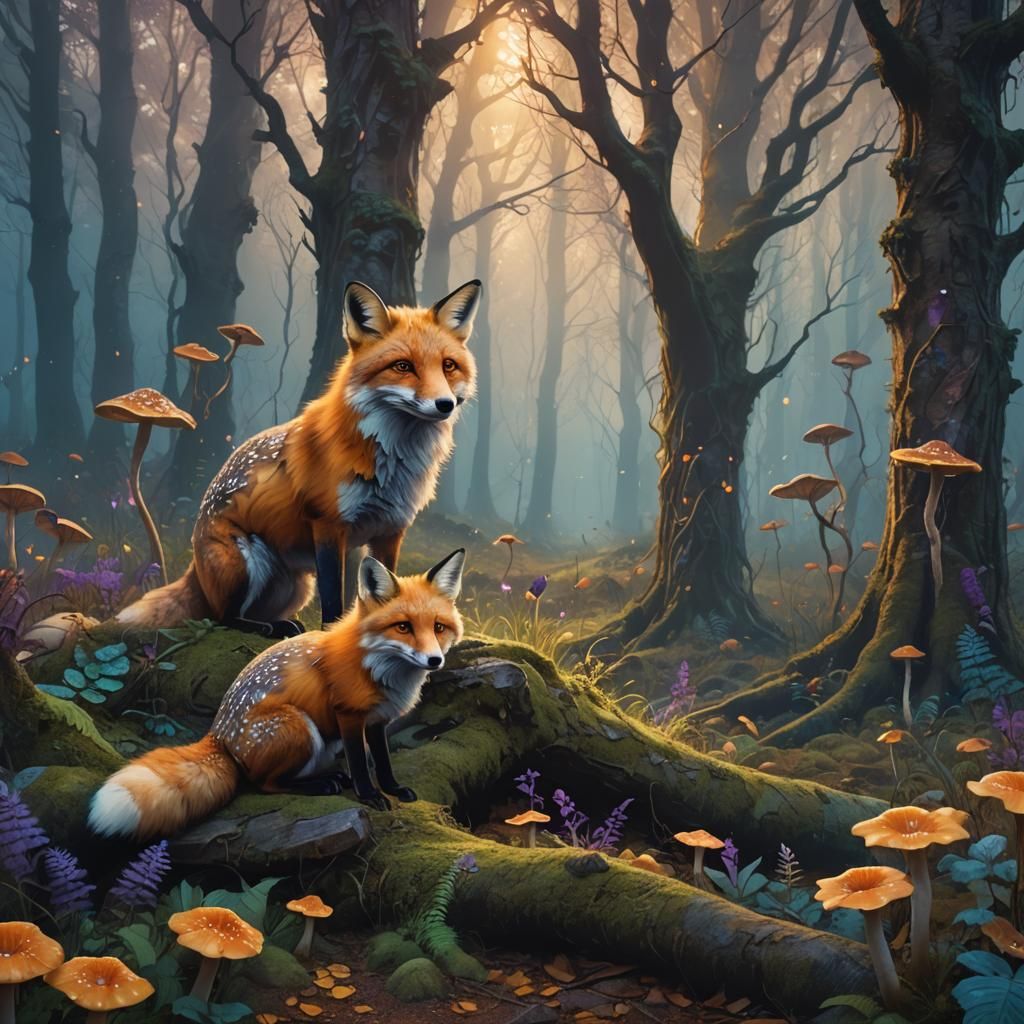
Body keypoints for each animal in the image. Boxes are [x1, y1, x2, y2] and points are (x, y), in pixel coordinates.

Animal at [88, 549, 466, 838]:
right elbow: (361, 763)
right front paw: (370, 796)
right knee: (263, 783)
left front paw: (392, 788)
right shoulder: (348, 715)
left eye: (438, 627)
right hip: (298, 726)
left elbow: (384, 761)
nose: (435, 660)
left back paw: (329, 778)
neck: (377, 667)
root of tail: (218, 733)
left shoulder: (376, 720)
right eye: (403, 627)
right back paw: (321, 784)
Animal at [116, 279, 480, 636]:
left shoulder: (388, 532)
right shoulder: (327, 524)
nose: (445, 404)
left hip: (298, 586)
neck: (391, 463)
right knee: (223, 617)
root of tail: (193, 561)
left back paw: (281, 623)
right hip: (248, 562)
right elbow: (333, 599)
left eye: (448, 366)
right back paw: (267, 628)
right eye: (403, 366)